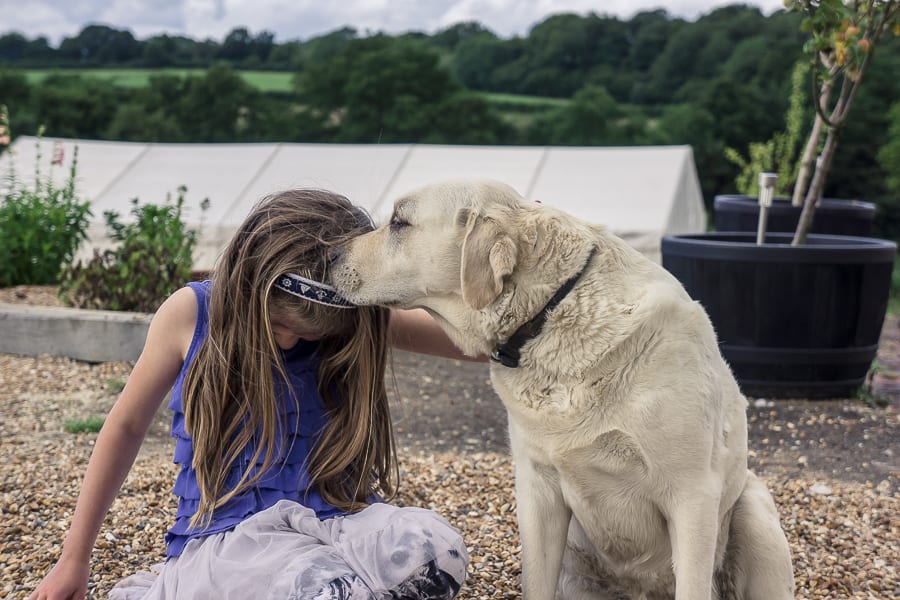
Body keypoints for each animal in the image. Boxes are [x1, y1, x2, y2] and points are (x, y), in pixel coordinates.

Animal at [328, 180, 788, 596]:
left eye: (399, 222)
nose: (328, 253)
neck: (551, 312)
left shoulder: (692, 495)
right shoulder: (538, 492)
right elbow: (536, 581)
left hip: (753, 510)